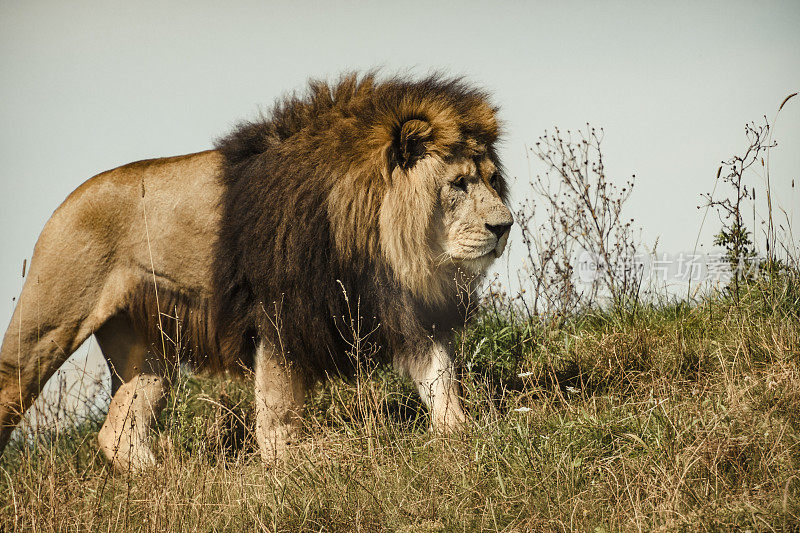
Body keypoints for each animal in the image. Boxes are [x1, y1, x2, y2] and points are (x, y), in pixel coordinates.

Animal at [0, 74, 512, 470]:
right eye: (458, 184)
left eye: (491, 179)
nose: (505, 226)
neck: (373, 234)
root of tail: (64, 204)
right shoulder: (281, 311)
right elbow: (278, 407)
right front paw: (293, 465)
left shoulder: (402, 307)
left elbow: (440, 378)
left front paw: (464, 435)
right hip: (46, 325)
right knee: (14, 390)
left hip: (147, 350)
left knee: (117, 433)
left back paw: (168, 482)